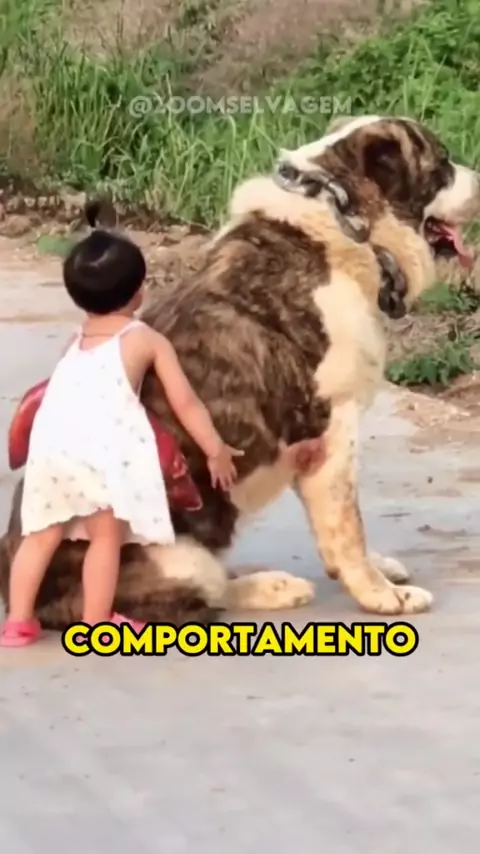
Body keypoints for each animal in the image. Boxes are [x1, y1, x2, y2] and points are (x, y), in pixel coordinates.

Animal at [1, 114, 479, 627]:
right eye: (442, 164)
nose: (479, 178)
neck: (344, 222)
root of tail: (19, 592)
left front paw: (379, 572)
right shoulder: (330, 434)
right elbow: (348, 528)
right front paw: (381, 595)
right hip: (175, 559)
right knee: (199, 595)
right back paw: (270, 586)